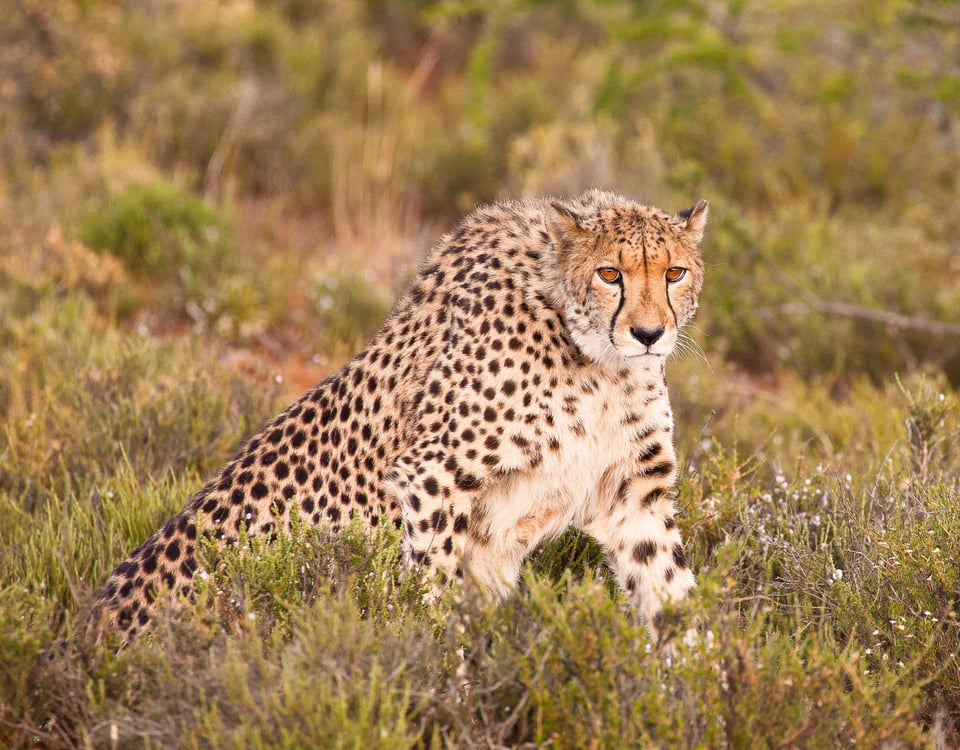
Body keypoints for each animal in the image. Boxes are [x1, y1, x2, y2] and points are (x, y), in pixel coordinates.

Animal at [86, 189, 708, 648]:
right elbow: (433, 605)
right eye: (610, 274)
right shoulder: (433, 480)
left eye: (674, 274)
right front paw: (446, 695)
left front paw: (700, 687)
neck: (597, 359)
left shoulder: (635, 494)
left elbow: (673, 591)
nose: (649, 334)